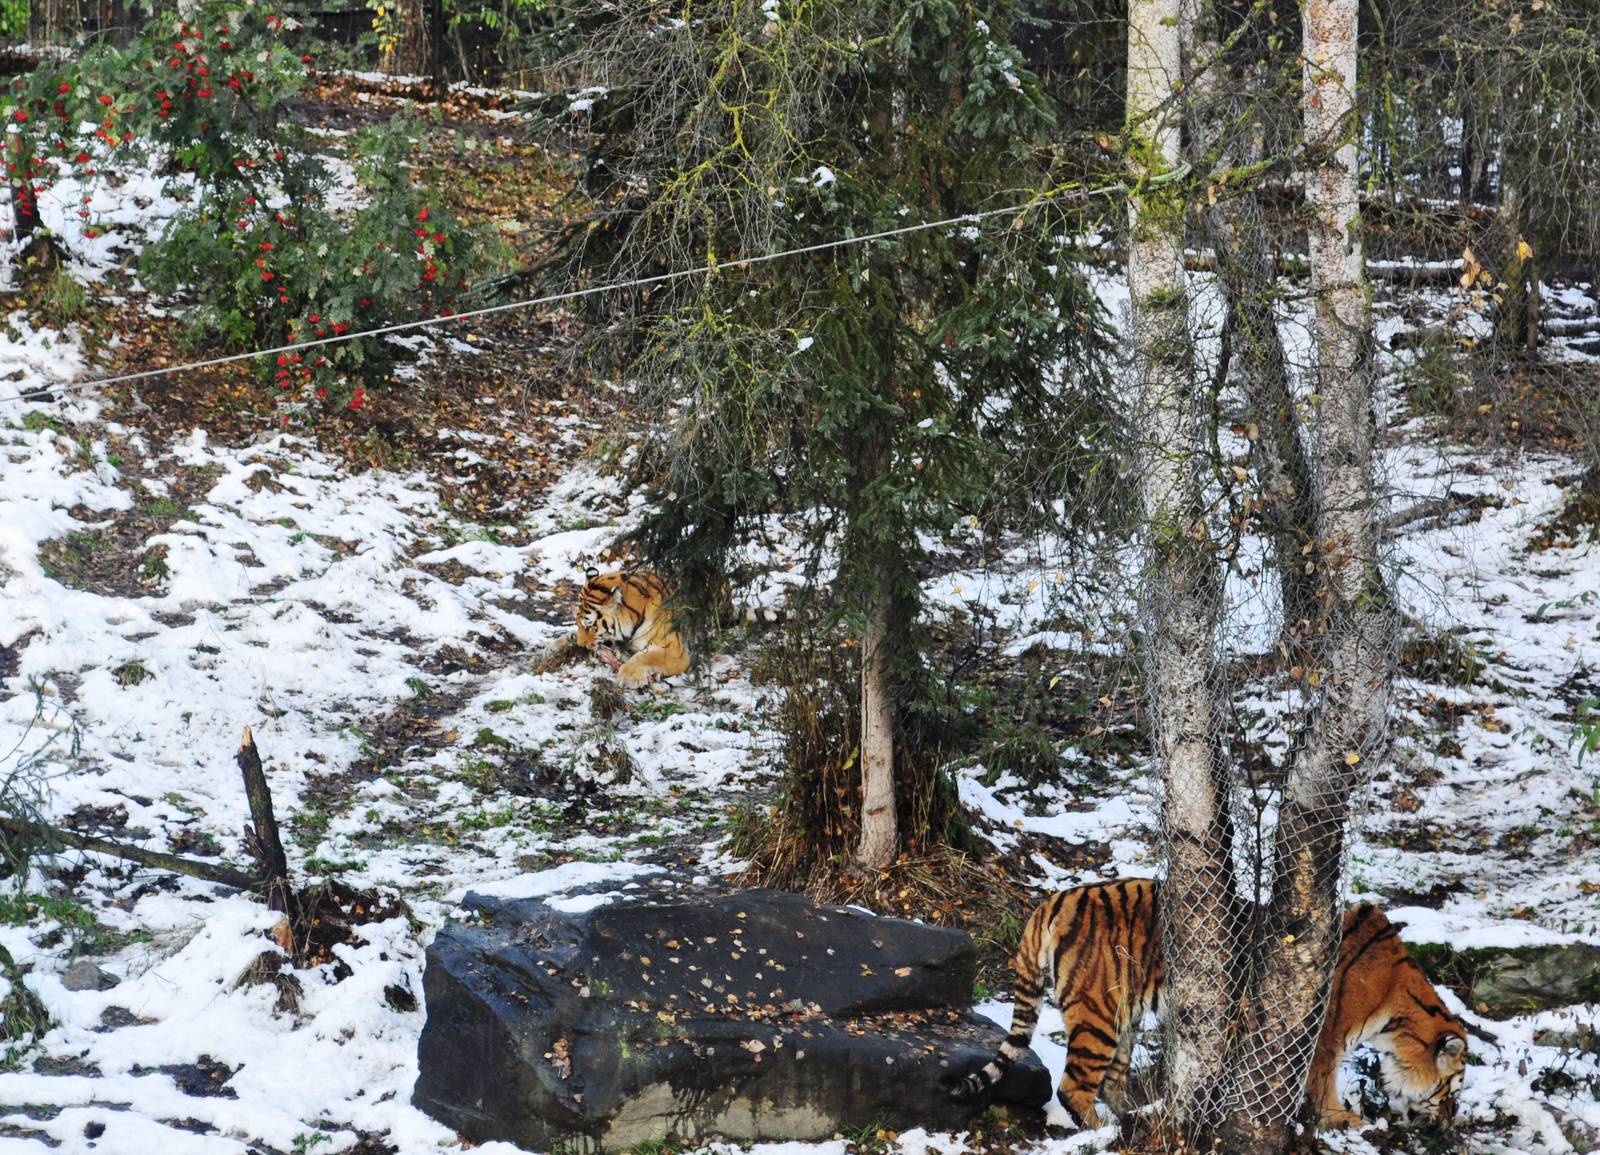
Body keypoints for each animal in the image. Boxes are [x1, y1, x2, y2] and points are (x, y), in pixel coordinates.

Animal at [952, 879, 1467, 1133]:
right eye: (1453, 1089)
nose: (1446, 1127)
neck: (1396, 1012)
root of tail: (1052, 901)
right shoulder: (1325, 1037)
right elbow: (1324, 1085)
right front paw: (1343, 1119)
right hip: (1098, 1013)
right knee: (1075, 1087)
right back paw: (1102, 1133)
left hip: (1123, 1016)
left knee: (1112, 1079)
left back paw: (1132, 1118)